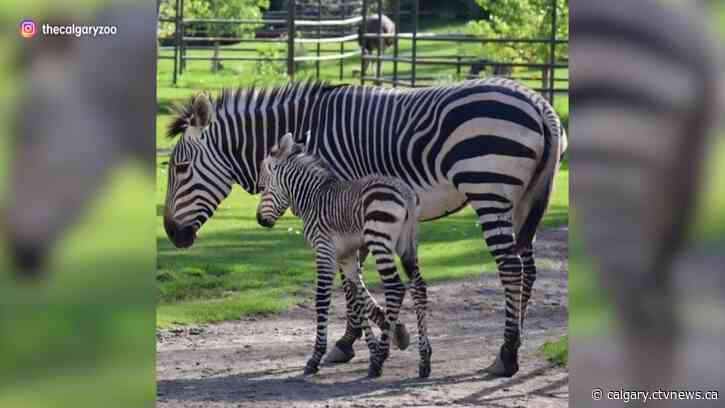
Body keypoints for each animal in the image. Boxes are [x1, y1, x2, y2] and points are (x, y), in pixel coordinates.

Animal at [255, 132, 430, 378]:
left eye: (262, 187)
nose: (260, 221)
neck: (312, 197)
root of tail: (405, 193)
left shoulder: (324, 251)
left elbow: (322, 300)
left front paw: (315, 358)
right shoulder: (346, 256)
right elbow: (358, 297)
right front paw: (376, 346)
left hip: (379, 240)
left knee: (396, 288)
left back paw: (379, 363)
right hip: (408, 243)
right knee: (418, 287)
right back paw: (424, 360)